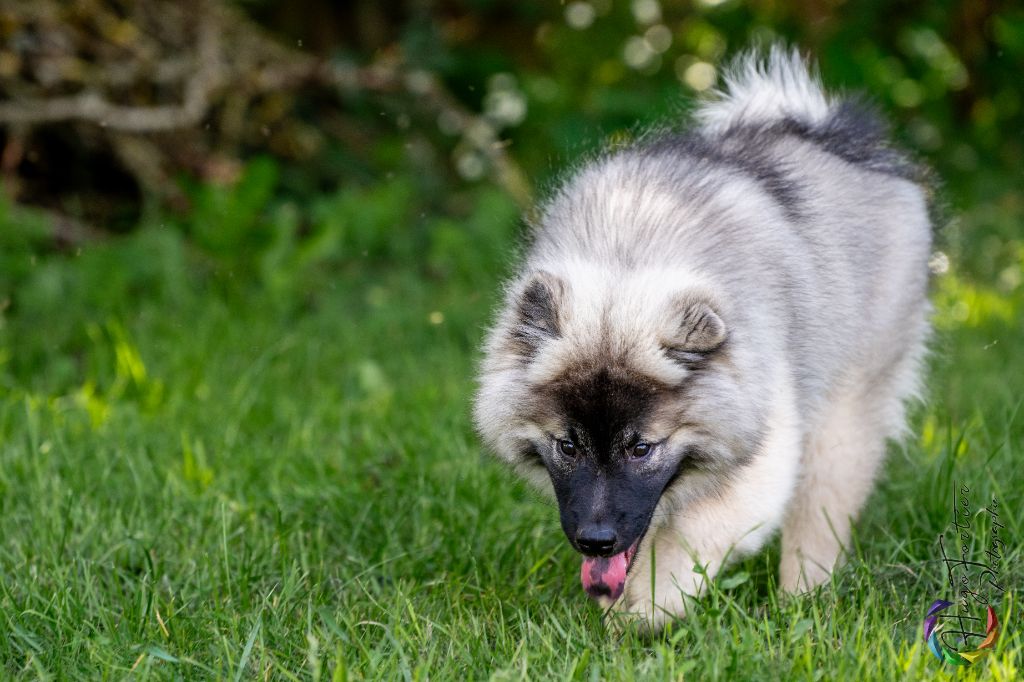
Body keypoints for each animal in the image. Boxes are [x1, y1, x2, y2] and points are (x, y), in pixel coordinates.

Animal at [473, 46, 937, 630]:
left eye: (642, 448)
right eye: (567, 445)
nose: (596, 541)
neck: (627, 264)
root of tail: (836, 137)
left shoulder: (763, 457)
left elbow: (691, 538)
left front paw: (645, 611)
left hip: (844, 415)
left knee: (820, 518)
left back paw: (801, 605)